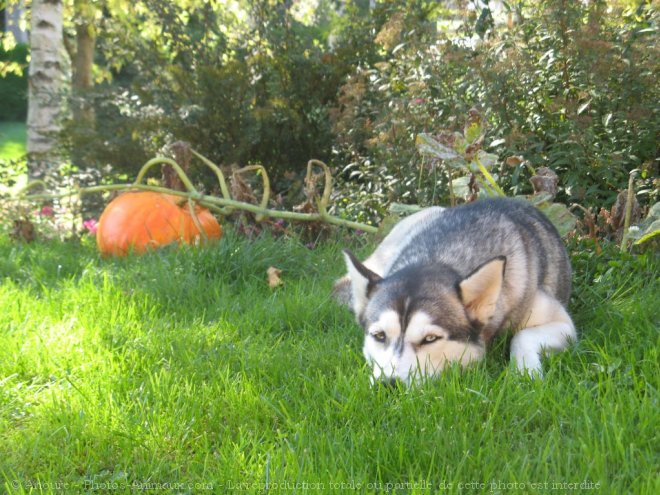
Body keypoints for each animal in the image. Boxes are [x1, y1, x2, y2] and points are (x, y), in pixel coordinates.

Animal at [338, 200, 576, 386]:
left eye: (430, 339)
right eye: (379, 336)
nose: (388, 385)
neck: (438, 258)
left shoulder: (565, 326)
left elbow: (522, 336)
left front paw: (526, 372)